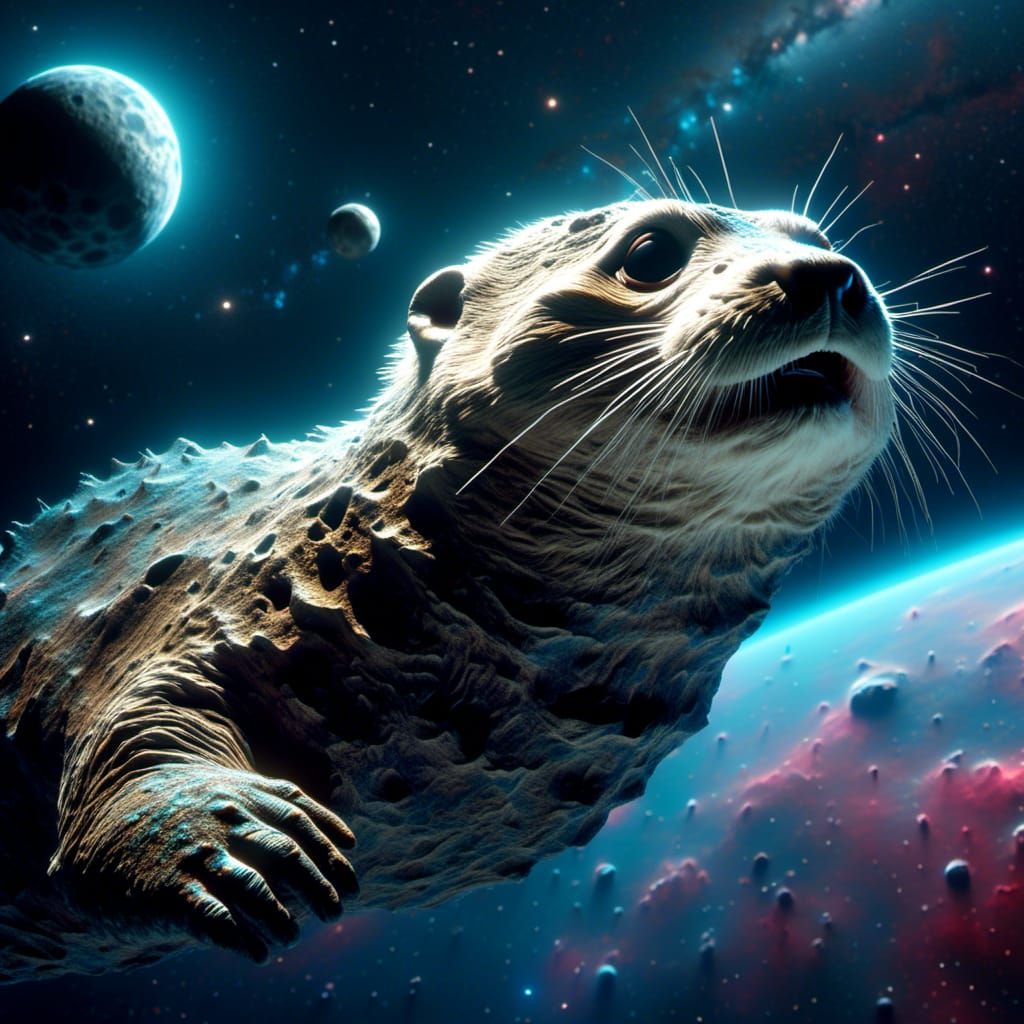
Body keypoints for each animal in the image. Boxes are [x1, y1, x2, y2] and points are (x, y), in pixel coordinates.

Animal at [0, 196, 894, 981]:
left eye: (815, 236)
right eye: (651, 253)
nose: (830, 275)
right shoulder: (219, 604)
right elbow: (136, 724)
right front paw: (222, 839)